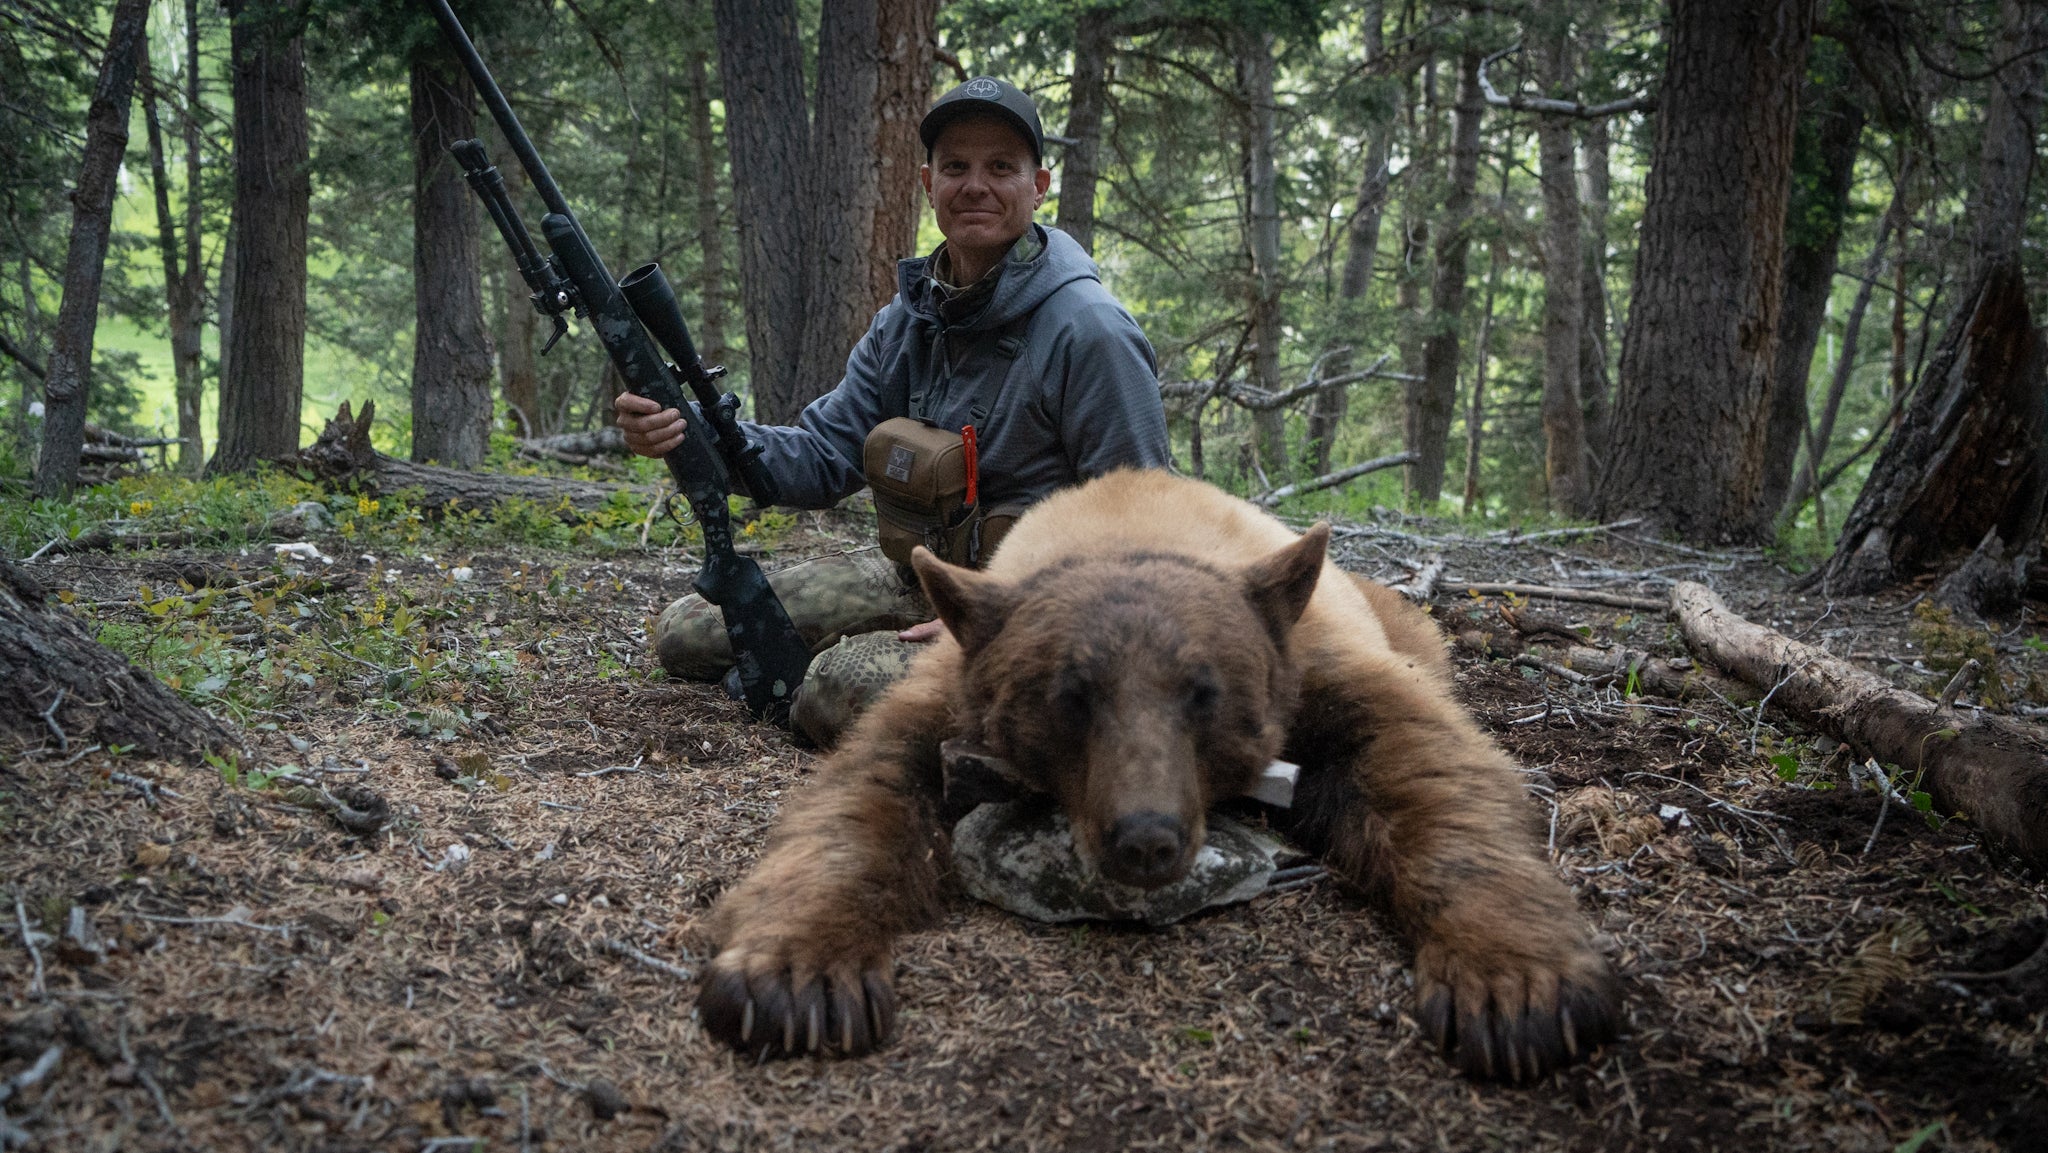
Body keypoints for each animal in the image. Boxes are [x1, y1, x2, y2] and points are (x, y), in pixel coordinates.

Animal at [696, 466, 1622, 1081]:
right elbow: (868, 790)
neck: (1131, 521)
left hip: (1402, 626)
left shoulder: (1319, 663)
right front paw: (797, 977)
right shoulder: (950, 685)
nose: (1146, 838)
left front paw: (1515, 992)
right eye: (1071, 696)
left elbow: (1431, 769)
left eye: (1204, 693)